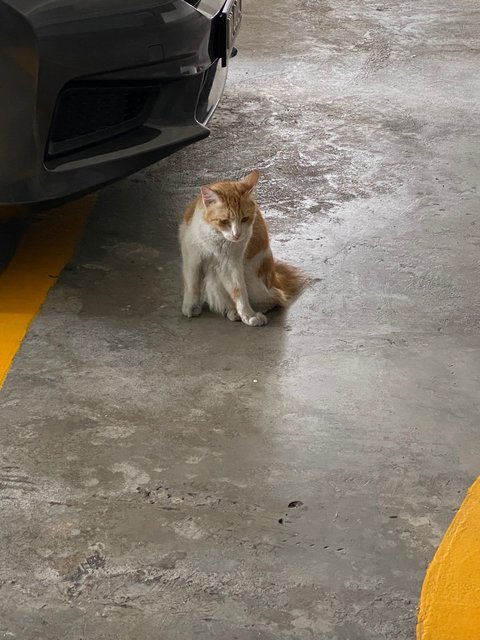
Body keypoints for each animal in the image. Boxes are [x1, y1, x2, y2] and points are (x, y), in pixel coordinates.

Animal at [178, 170, 306, 328]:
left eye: (245, 219)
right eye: (224, 221)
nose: (237, 234)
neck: (215, 237)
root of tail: (276, 277)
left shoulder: (231, 263)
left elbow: (239, 291)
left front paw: (248, 314)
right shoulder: (192, 255)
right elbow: (192, 283)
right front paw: (190, 306)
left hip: (251, 277)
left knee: (275, 298)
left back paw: (239, 312)